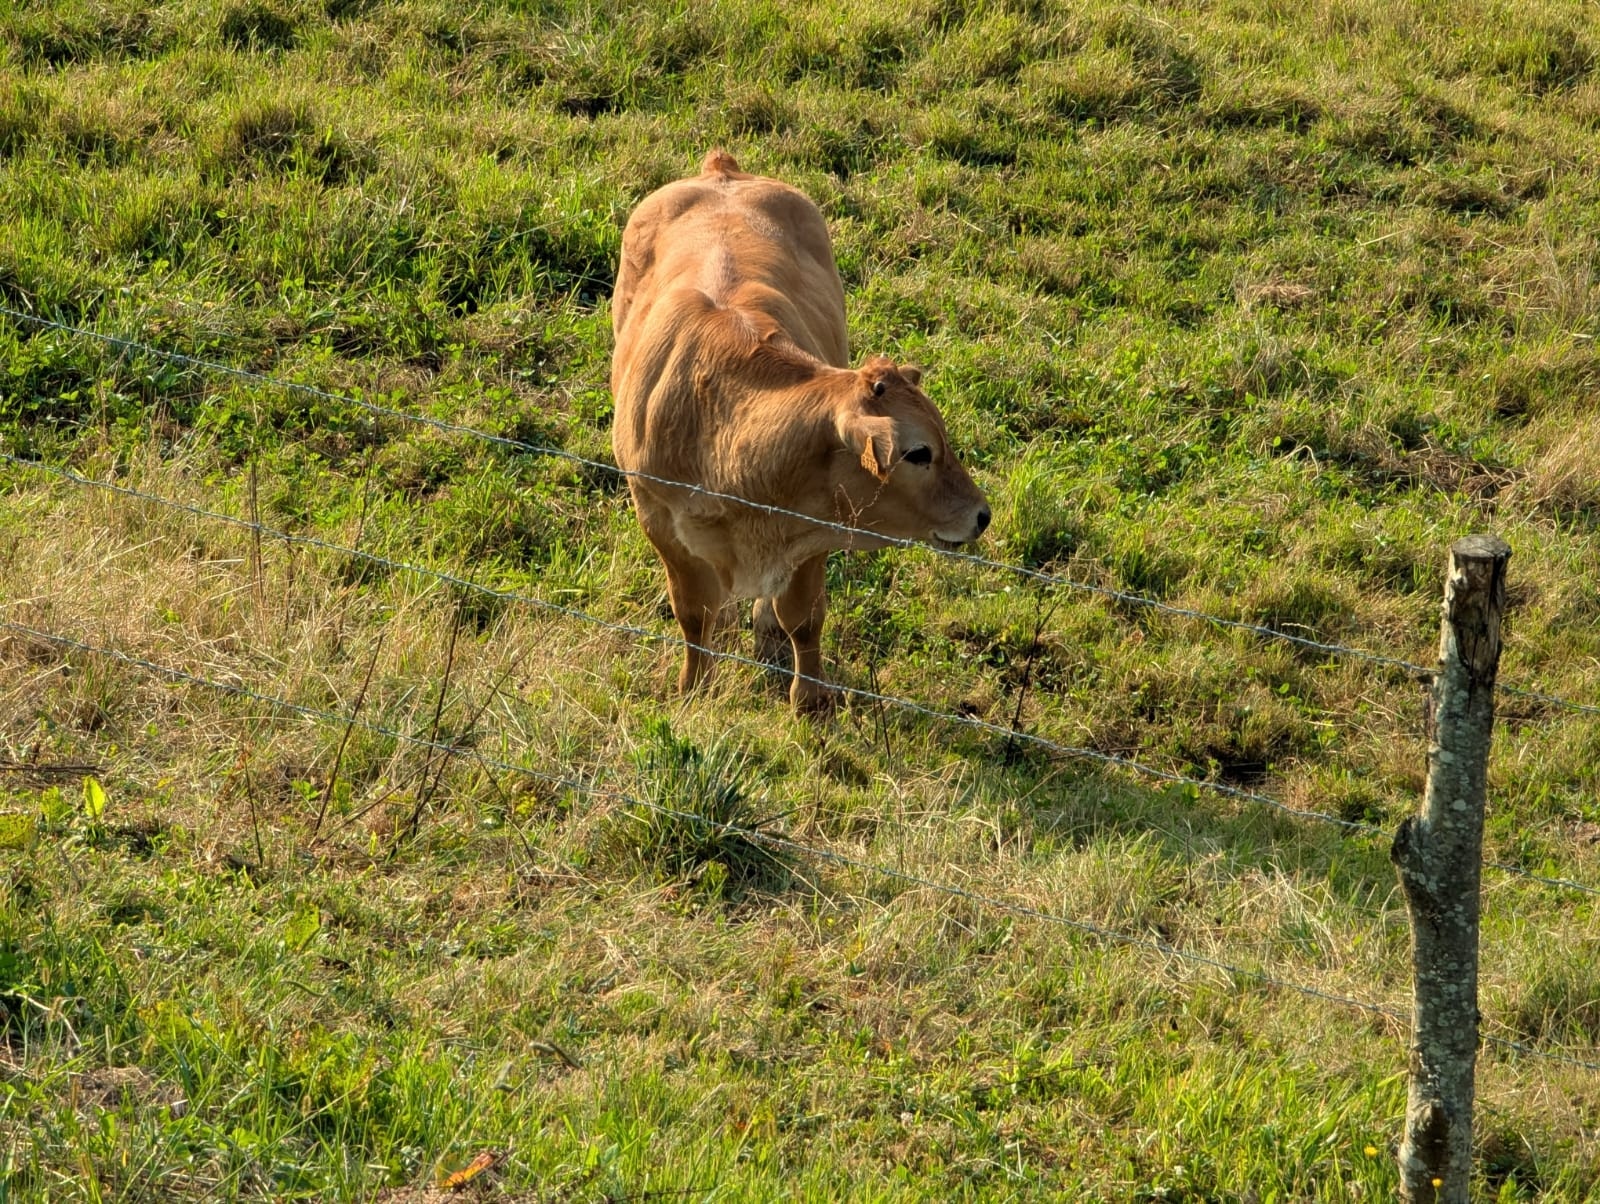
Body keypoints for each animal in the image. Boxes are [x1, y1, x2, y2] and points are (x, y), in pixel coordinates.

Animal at [610, 150, 990, 711]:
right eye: (919, 453)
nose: (982, 515)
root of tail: (722, 172)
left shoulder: (815, 529)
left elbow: (804, 622)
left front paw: (810, 703)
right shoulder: (659, 522)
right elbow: (694, 616)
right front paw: (692, 689)